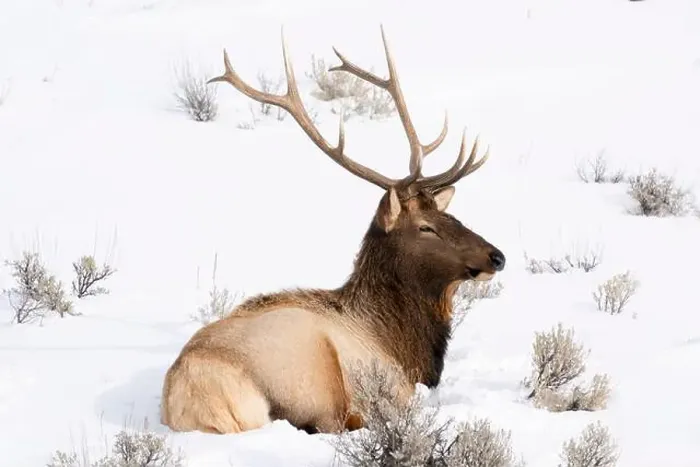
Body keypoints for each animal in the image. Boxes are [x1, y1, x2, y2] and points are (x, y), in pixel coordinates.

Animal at [160, 26, 506, 436]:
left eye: (450, 216)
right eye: (426, 227)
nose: (496, 256)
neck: (403, 343)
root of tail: (197, 401)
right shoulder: (395, 386)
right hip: (315, 369)